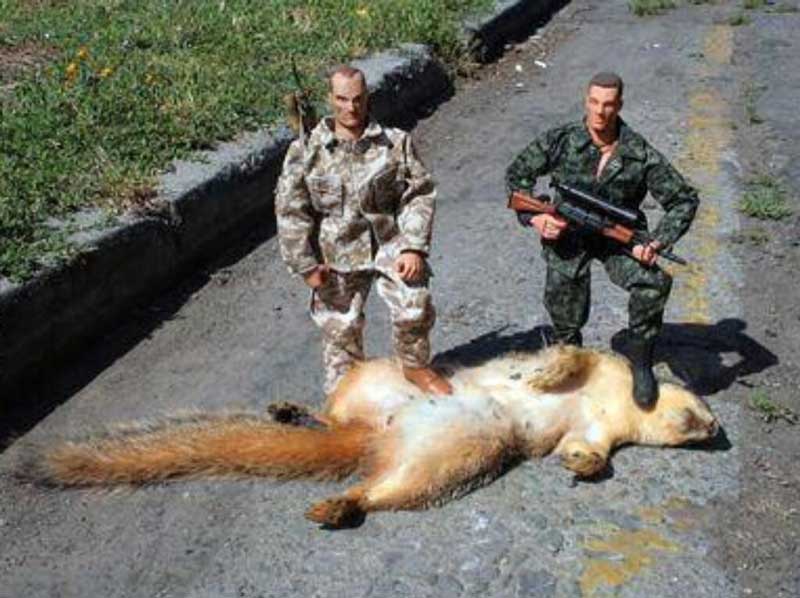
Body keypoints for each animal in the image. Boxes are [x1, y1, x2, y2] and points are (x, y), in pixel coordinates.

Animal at [19, 345, 719, 528]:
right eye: (700, 403)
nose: (717, 431)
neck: (619, 404)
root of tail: (377, 438)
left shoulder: (600, 430)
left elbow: (594, 452)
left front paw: (579, 464)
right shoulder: (601, 363)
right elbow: (569, 354)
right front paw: (546, 373)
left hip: (441, 462)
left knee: (373, 485)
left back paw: (333, 496)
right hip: (378, 378)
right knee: (338, 420)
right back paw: (293, 415)